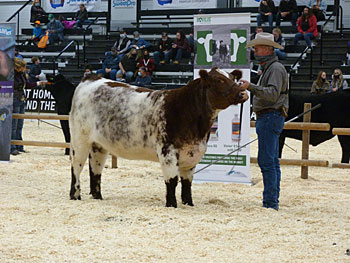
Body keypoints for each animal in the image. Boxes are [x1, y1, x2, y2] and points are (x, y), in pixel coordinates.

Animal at [69, 68, 249, 208]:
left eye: (233, 78)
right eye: (219, 80)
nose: (242, 93)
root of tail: (92, 78)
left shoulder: (191, 154)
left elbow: (187, 183)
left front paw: (188, 203)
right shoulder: (167, 151)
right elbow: (172, 180)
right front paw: (171, 204)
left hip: (99, 145)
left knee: (95, 169)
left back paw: (97, 197)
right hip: (79, 139)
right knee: (76, 166)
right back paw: (75, 195)